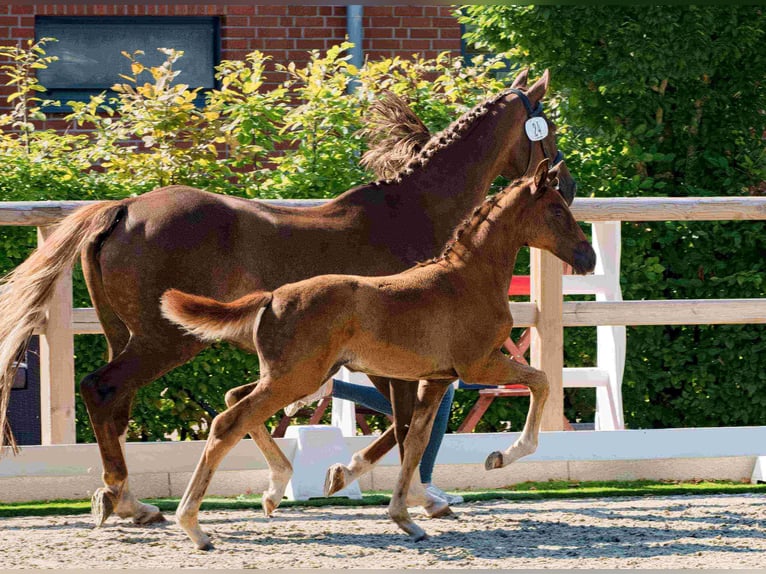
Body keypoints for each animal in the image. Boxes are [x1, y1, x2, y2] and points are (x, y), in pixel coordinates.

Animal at [162, 161, 596, 548]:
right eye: (557, 209)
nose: (588, 257)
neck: (467, 280)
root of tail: (271, 297)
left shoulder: (437, 379)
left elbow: (415, 439)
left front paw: (406, 518)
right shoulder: (479, 364)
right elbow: (541, 381)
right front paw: (500, 457)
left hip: (294, 375)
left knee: (235, 401)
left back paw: (272, 491)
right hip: (296, 378)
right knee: (228, 422)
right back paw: (194, 526)